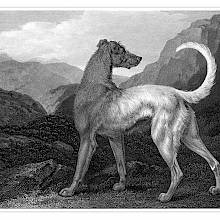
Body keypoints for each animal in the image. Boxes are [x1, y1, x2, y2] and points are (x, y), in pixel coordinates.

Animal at [58, 39, 220, 203]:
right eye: (122, 50)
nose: (140, 58)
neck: (94, 84)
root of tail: (176, 93)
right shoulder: (115, 138)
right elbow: (121, 165)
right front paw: (121, 186)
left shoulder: (87, 139)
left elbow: (79, 168)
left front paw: (70, 191)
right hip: (190, 138)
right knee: (214, 162)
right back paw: (216, 189)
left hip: (163, 139)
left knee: (177, 173)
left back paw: (166, 197)